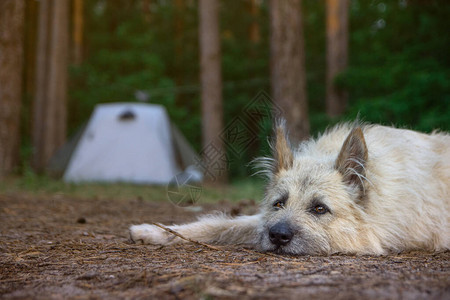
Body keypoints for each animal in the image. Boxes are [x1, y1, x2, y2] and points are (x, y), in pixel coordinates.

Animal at [130, 122, 450, 255]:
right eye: (278, 203)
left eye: (319, 208)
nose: (278, 236)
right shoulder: (263, 220)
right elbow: (220, 223)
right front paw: (156, 230)